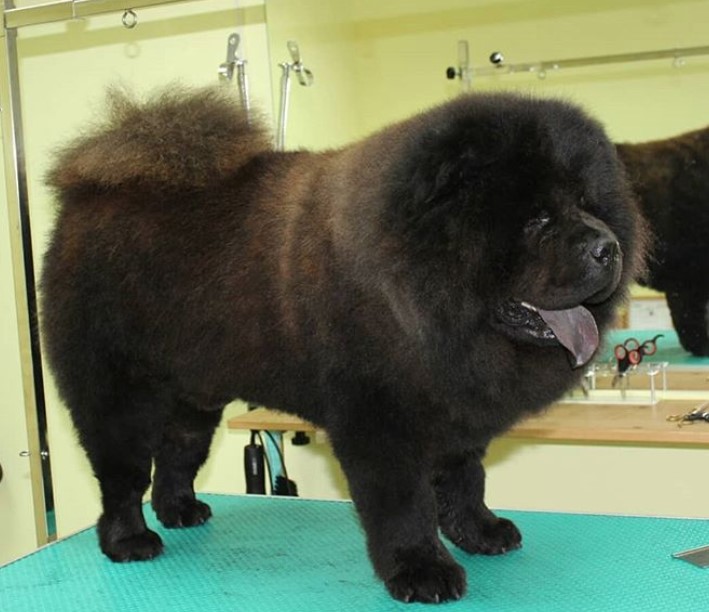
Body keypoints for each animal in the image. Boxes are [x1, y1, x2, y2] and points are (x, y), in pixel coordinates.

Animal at [41, 88, 644, 604]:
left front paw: (481, 532)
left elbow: (464, 481)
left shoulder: (454, 411)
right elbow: (405, 506)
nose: (608, 247)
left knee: (176, 455)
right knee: (121, 474)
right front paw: (422, 570)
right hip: (117, 393)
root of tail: (84, 200)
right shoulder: (380, 424)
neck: (419, 300)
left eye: (589, 205)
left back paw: (182, 510)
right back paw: (129, 540)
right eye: (537, 218)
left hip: (195, 394)